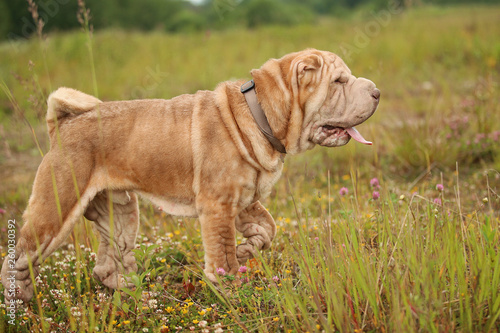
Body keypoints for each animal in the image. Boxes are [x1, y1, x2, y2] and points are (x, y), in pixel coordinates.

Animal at [1, 48, 378, 304]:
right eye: (339, 81)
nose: (376, 91)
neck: (262, 116)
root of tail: (62, 124)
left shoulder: (244, 201)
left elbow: (267, 229)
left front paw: (246, 251)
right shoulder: (218, 206)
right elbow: (222, 255)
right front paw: (233, 291)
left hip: (121, 214)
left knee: (107, 264)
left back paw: (135, 294)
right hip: (55, 211)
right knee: (18, 258)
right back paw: (20, 299)